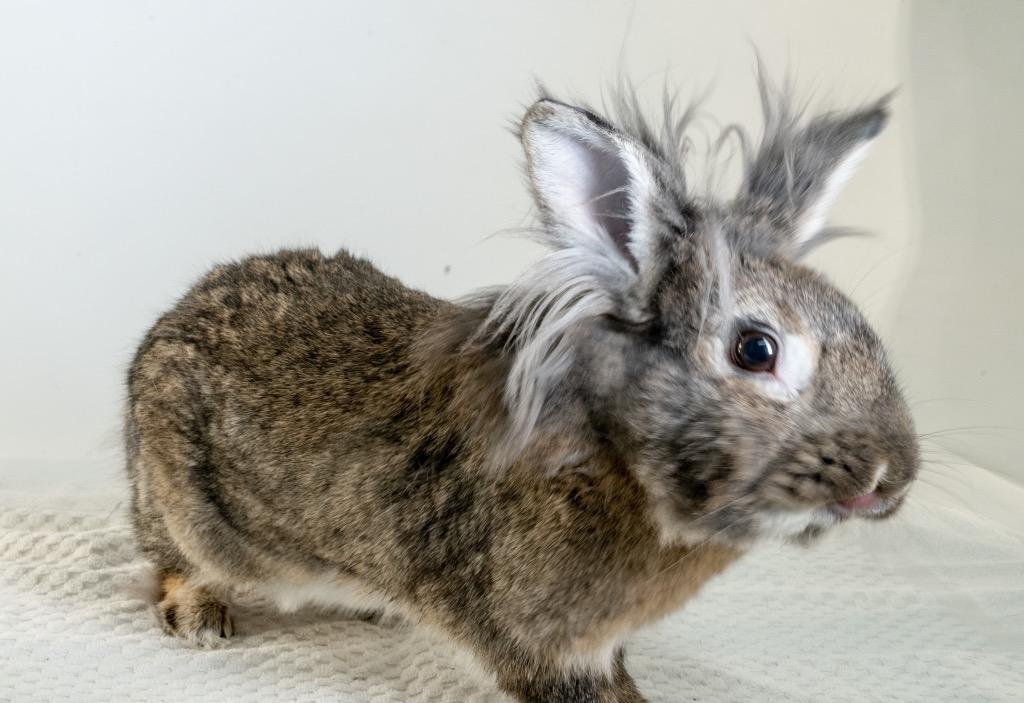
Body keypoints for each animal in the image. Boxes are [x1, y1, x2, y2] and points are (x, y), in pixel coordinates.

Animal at [125, 77, 919, 702]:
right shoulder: (527, 639)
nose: (894, 476)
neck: (611, 459)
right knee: (171, 560)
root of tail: (168, 324)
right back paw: (200, 618)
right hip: (187, 513)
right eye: (756, 349)